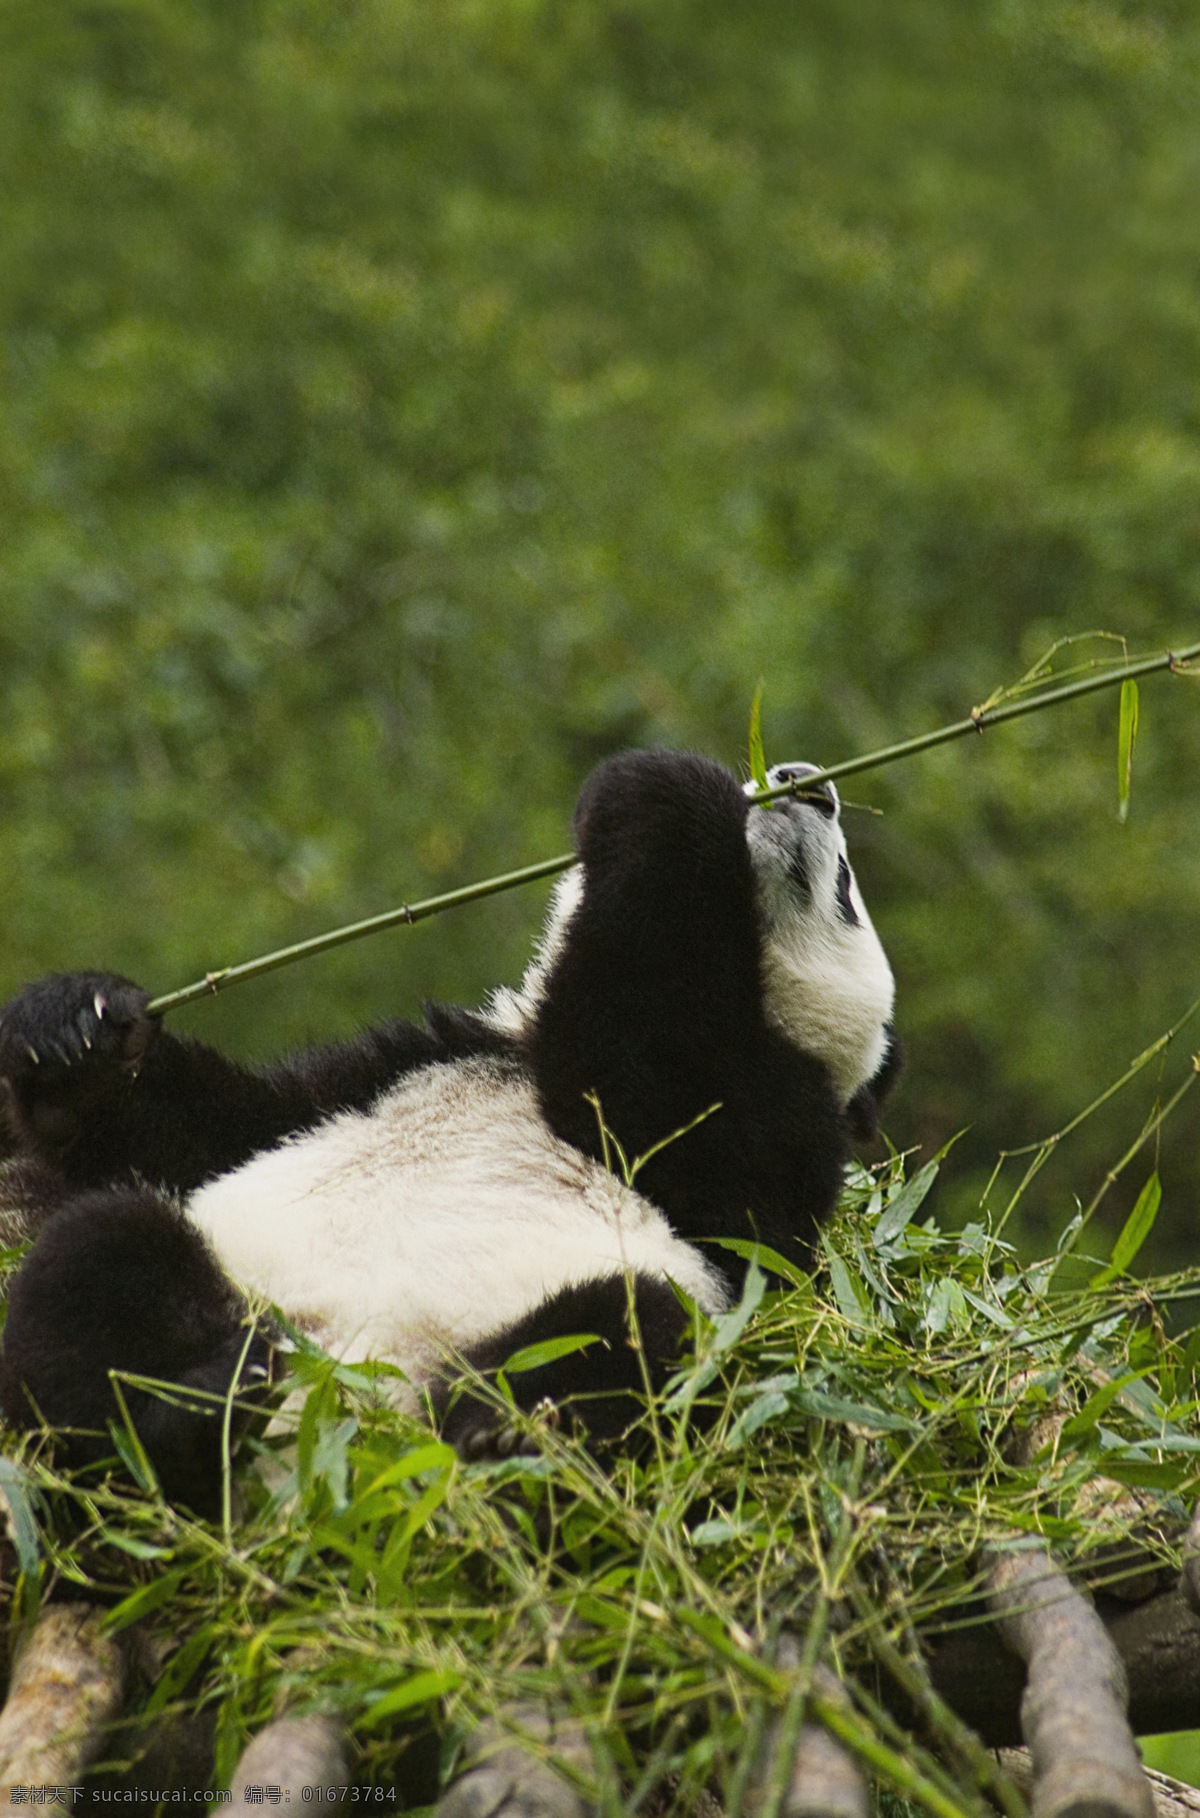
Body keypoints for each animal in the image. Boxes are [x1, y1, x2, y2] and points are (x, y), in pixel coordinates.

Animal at [0, 745, 901, 1512]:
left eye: (845, 888)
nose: (801, 782)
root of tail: (335, 1451)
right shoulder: (396, 1067)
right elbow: (196, 1130)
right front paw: (76, 1032)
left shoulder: (776, 1128)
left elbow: (653, 1086)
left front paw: (666, 793)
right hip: (235, 1285)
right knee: (105, 1257)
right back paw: (189, 1417)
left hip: (561, 1321)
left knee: (620, 1327)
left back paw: (496, 1438)